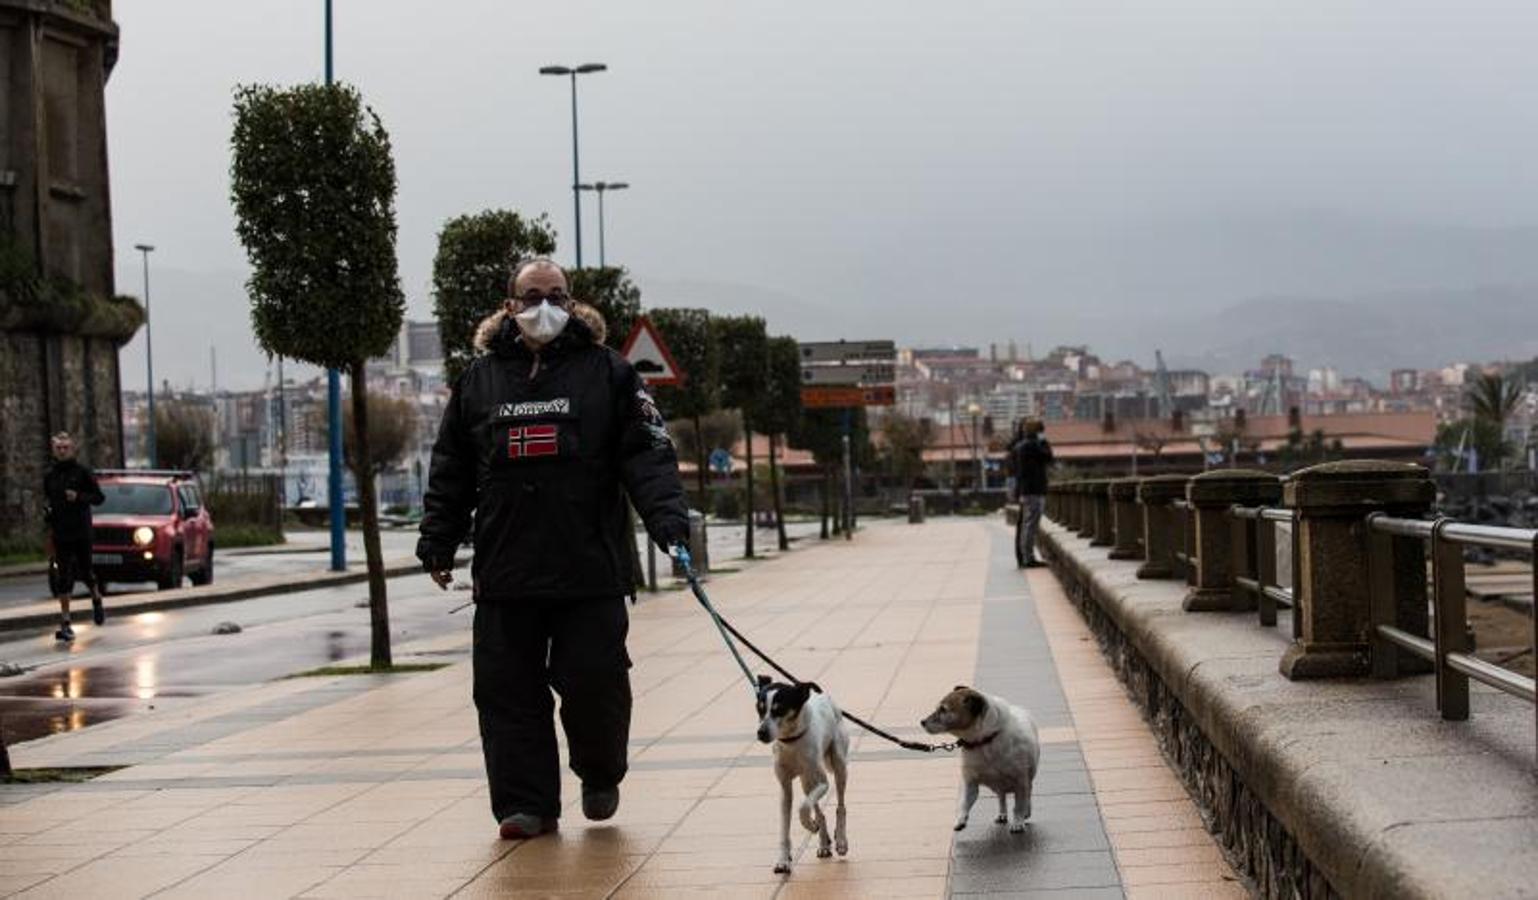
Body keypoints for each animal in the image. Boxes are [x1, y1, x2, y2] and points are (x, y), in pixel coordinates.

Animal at [756, 673, 855, 867]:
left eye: (780, 709)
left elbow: (803, 807)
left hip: (839, 765)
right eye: (759, 709)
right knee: (819, 811)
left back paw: (840, 840)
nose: (761, 733)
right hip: (805, 782)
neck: (792, 741)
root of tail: (823, 695)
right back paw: (823, 844)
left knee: (840, 805)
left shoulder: (823, 783)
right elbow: (785, 827)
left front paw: (809, 825)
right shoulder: (785, 788)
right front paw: (783, 861)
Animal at [916, 683, 1039, 830]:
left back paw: (1026, 812)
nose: (922, 722)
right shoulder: (970, 783)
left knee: (1027, 795)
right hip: (999, 787)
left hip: (1027, 779)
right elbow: (964, 803)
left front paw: (1018, 821)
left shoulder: (1020, 781)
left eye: (943, 709)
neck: (983, 741)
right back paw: (1002, 814)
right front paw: (961, 819)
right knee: (1001, 797)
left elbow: (1019, 805)